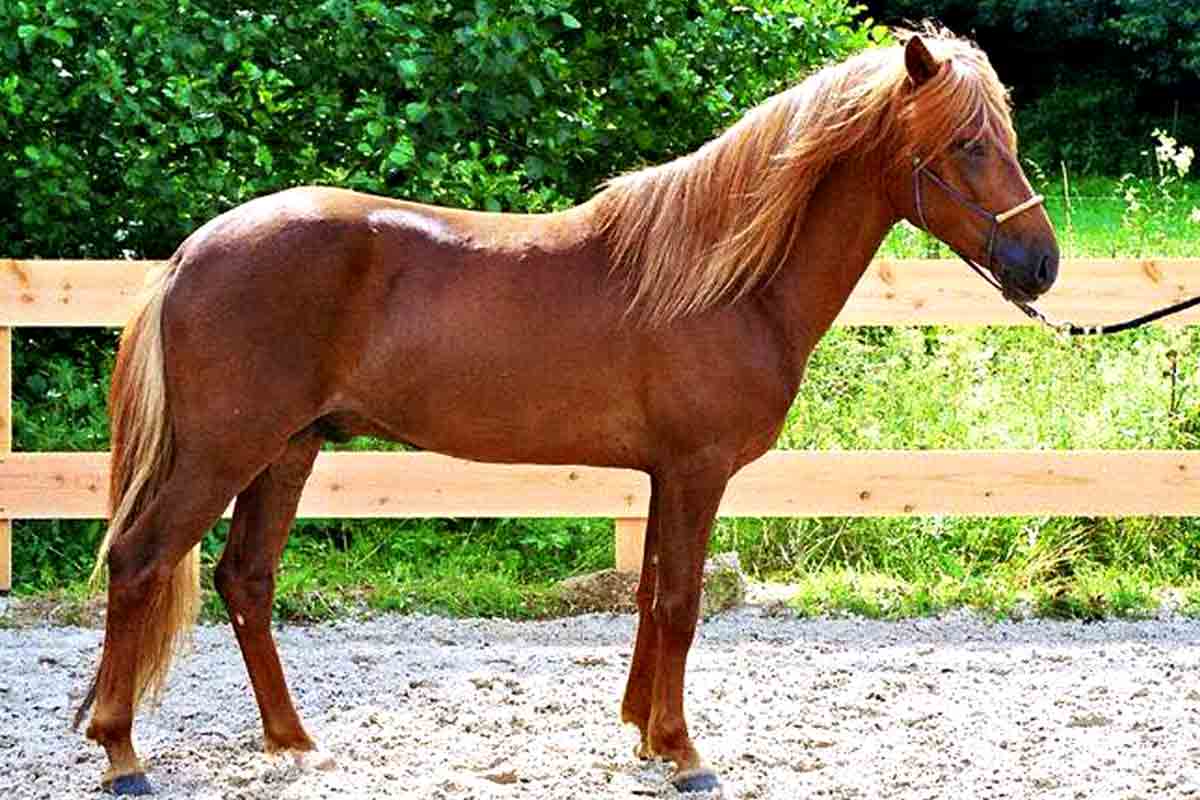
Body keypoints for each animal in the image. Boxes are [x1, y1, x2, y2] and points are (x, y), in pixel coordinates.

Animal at [74, 30, 1057, 795]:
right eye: (968, 142)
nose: (1041, 264)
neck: (726, 279)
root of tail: (190, 254)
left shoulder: (665, 474)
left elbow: (653, 594)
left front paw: (645, 735)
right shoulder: (696, 470)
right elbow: (681, 602)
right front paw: (685, 754)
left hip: (288, 450)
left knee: (246, 577)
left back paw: (295, 742)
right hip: (224, 451)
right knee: (139, 561)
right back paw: (122, 757)